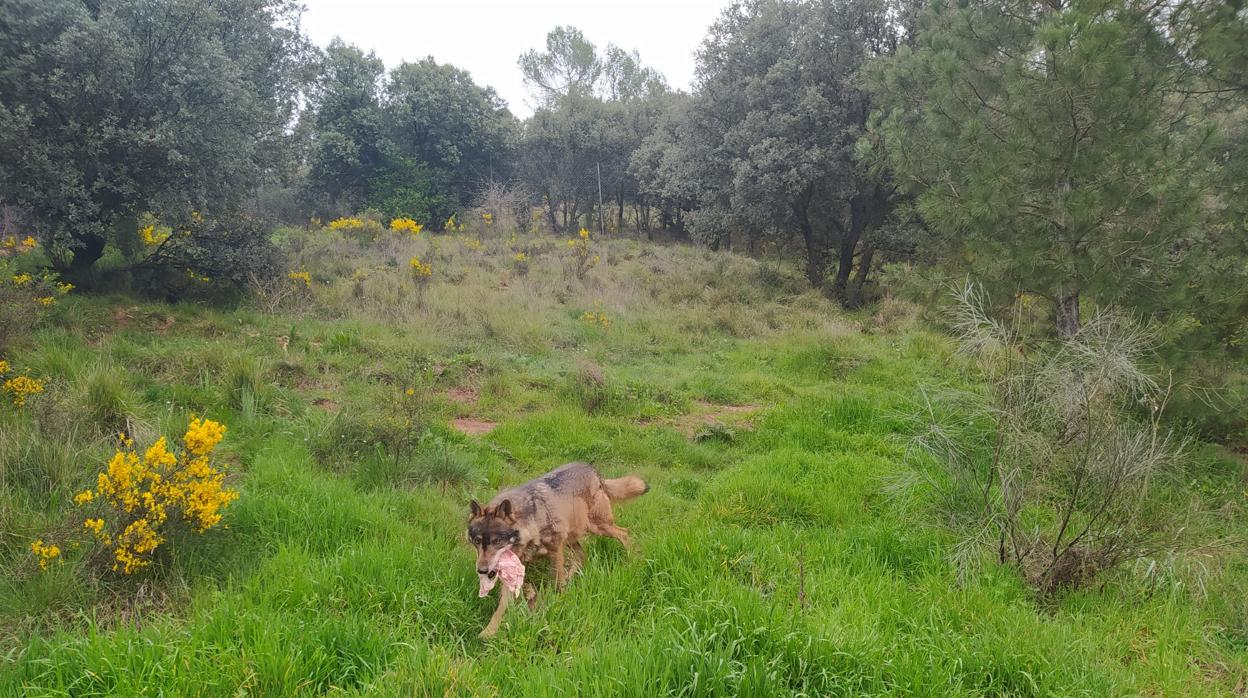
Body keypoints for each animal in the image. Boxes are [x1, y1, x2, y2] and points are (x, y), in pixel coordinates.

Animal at [467, 462, 648, 638]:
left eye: (497, 541)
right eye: (477, 541)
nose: (482, 570)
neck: (530, 524)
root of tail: (592, 469)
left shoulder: (555, 552)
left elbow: (556, 583)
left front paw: (558, 604)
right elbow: (500, 608)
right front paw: (487, 633)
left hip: (598, 527)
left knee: (624, 533)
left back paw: (633, 559)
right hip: (573, 538)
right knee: (582, 555)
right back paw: (572, 576)